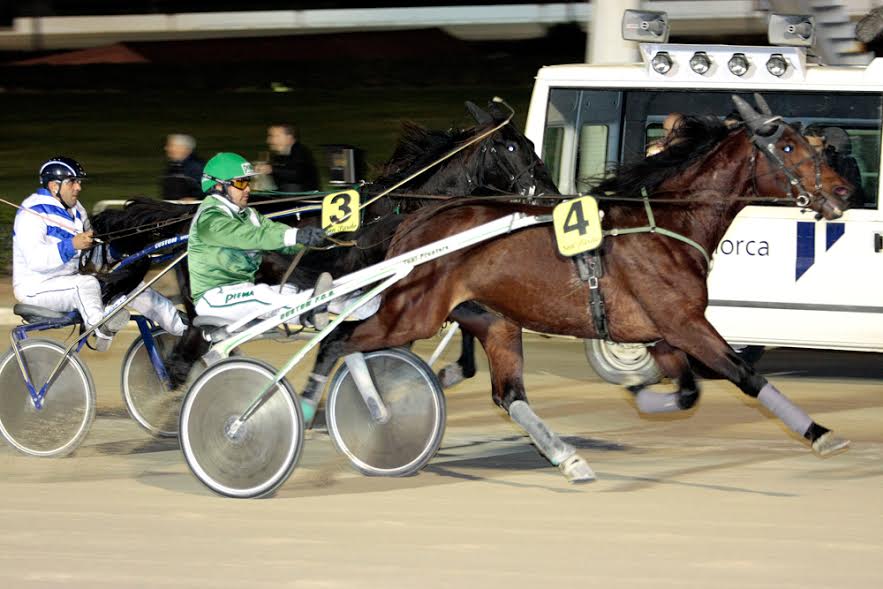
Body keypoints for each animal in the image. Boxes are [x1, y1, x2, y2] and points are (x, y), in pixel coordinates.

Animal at [312, 94, 856, 482]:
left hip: (492, 319)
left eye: (812, 144)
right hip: (412, 312)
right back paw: (320, 408)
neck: (663, 225)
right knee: (339, 341)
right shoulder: (685, 323)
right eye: (788, 147)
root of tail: (418, 219)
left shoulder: (662, 334)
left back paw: (566, 457)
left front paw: (640, 393)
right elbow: (744, 374)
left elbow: (687, 392)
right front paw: (821, 434)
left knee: (508, 393)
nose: (844, 191)